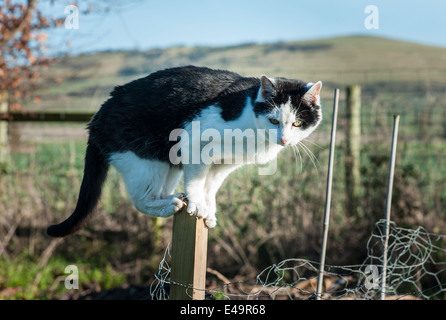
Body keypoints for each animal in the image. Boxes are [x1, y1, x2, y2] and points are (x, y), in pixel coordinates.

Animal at [47, 65, 322, 236]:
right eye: (274, 120)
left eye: (297, 124)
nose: (283, 139)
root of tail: (96, 119)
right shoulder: (195, 143)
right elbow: (197, 181)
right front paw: (198, 205)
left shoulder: (224, 163)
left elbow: (210, 187)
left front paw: (209, 210)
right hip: (147, 160)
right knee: (141, 199)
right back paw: (173, 205)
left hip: (168, 165)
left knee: (157, 193)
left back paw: (175, 198)